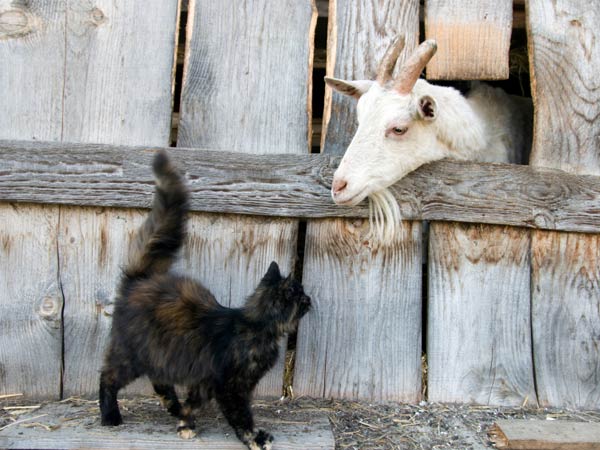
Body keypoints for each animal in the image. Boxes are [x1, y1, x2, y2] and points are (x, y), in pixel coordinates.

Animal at [99, 151, 312, 450]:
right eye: (301, 295)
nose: (310, 298)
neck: (256, 326)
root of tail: (139, 281)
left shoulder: (205, 380)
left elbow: (194, 403)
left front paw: (185, 424)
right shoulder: (231, 385)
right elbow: (241, 416)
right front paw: (255, 438)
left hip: (160, 352)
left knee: (159, 381)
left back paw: (172, 406)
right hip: (131, 354)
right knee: (108, 377)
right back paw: (110, 416)